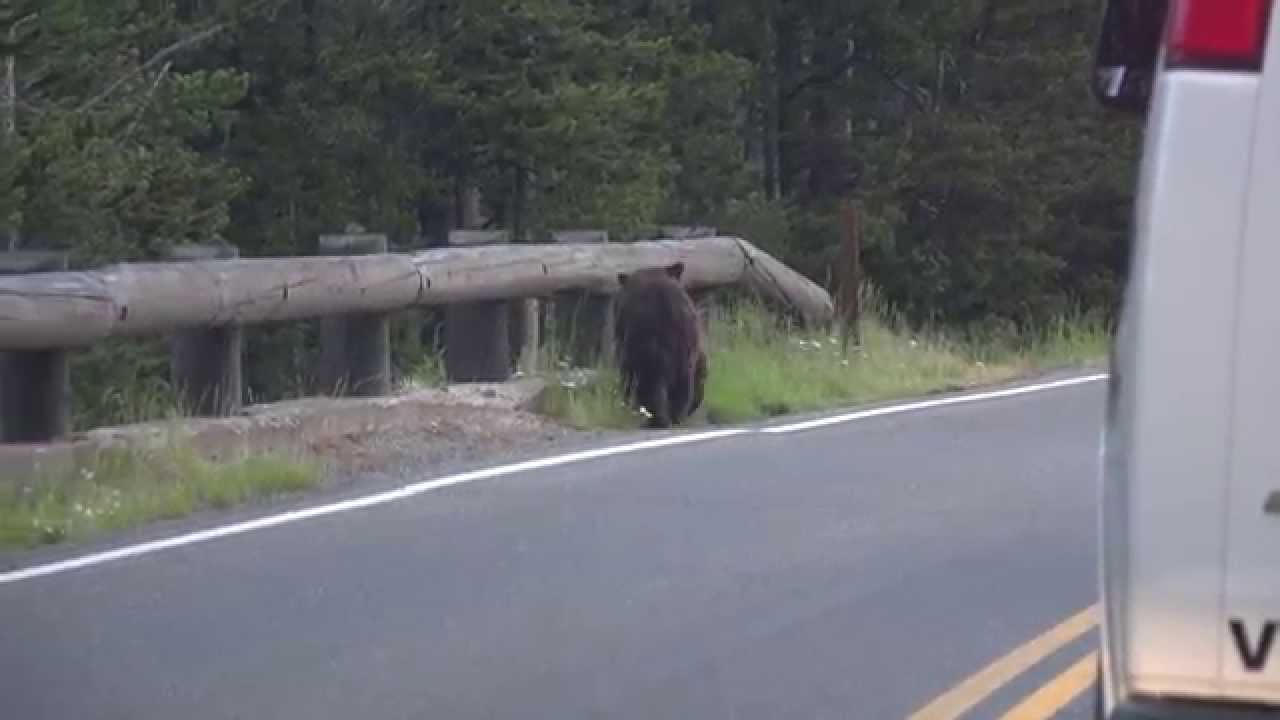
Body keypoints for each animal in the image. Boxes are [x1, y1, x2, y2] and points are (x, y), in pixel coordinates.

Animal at [613, 262, 708, 429]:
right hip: (684, 343)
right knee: (684, 382)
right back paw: (675, 415)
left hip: (644, 343)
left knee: (647, 380)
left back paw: (657, 418)